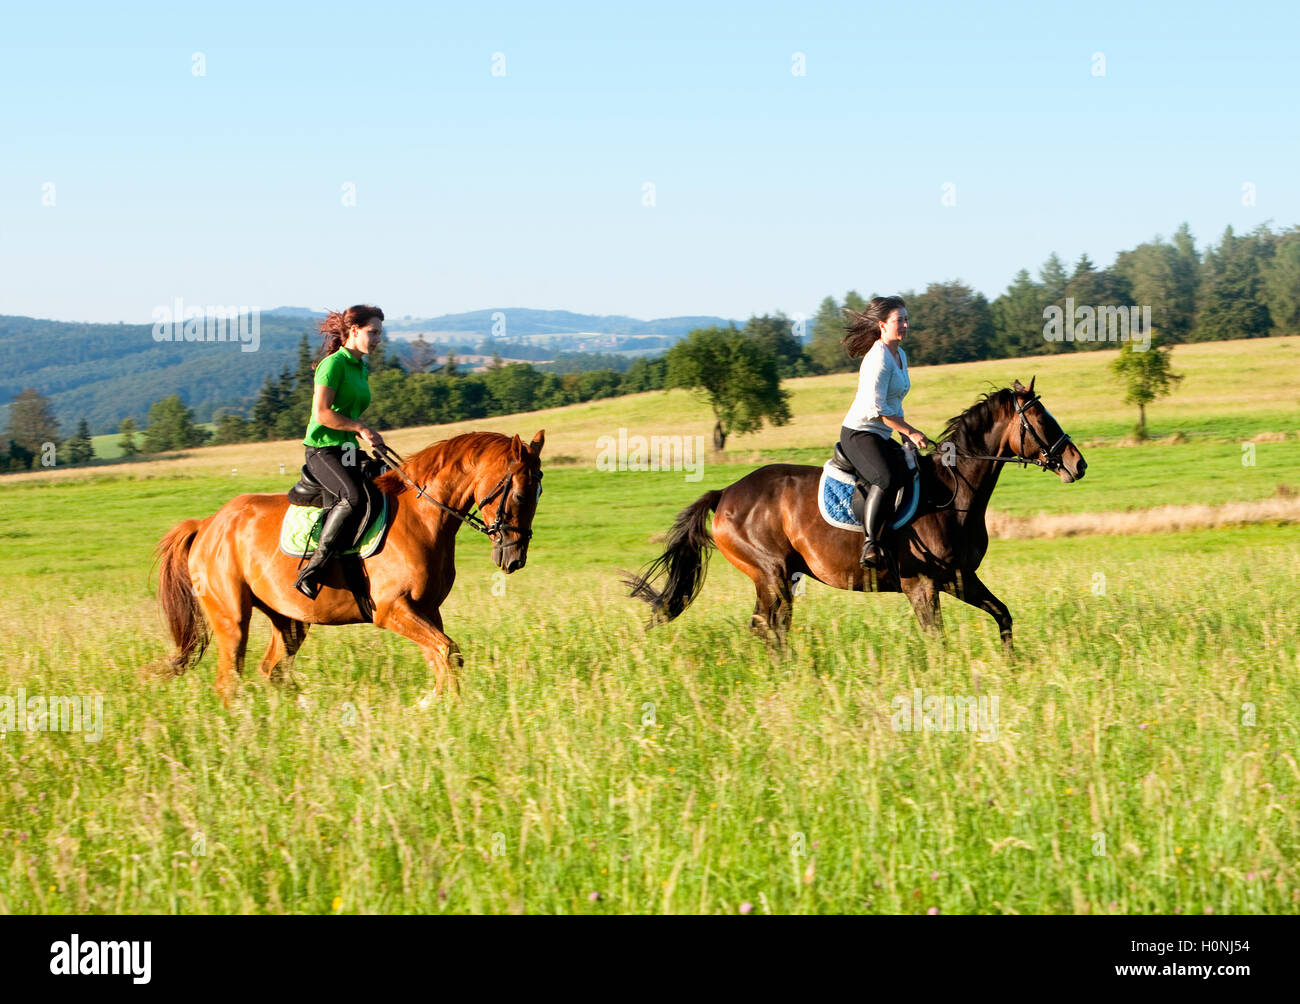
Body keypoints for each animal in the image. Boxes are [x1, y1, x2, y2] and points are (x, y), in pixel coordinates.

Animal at [150, 426, 543, 702]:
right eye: (521, 494)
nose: (514, 559)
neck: (423, 515)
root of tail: (206, 524)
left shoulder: (426, 609)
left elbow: (444, 656)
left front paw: (443, 706)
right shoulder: (392, 609)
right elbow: (446, 651)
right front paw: (440, 706)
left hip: (289, 618)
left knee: (273, 670)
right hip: (231, 617)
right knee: (229, 680)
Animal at [629, 382, 1086, 650]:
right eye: (1042, 420)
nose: (1077, 464)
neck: (952, 493)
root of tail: (724, 494)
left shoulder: (959, 578)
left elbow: (1002, 614)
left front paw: (1014, 666)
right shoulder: (921, 584)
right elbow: (936, 640)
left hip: (778, 580)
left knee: (770, 628)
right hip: (770, 573)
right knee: (767, 627)